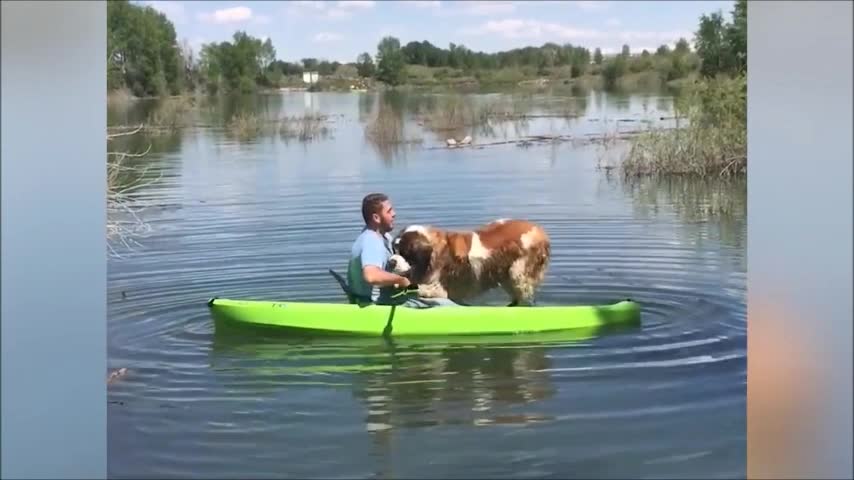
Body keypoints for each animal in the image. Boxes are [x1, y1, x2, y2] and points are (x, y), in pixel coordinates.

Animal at [386, 218, 552, 306]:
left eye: (405, 253)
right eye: (394, 250)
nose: (391, 262)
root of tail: (539, 230)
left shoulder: (439, 288)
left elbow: (427, 291)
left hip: (518, 272)